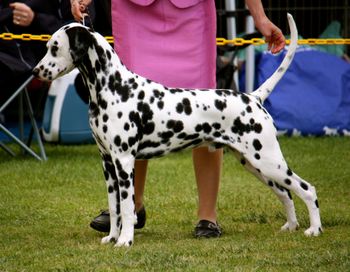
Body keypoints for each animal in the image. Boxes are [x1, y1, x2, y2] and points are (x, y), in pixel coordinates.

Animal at [33, 13, 322, 246]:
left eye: (55, 47)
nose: (36, 71)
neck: (114, 87)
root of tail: (253, 97)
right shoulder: (107, 162)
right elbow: (114, 209)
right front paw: (112, 237)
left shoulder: (124, 161)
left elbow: (126, 207)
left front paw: (125, 241)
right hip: (256, 165)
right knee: (286, 193)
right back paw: (291, 226)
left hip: (269, 161)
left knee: (306, 189)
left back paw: (314, 230)